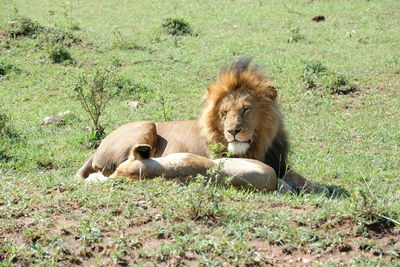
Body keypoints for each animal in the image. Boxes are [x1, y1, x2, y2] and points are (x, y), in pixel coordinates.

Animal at [77, 57, 324, 194]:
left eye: (245, 109)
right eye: (224, 113)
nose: (233, 132)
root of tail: (98, 148)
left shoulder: (279, 164)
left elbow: (300, 178)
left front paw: (320, 188)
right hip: (147, 124)